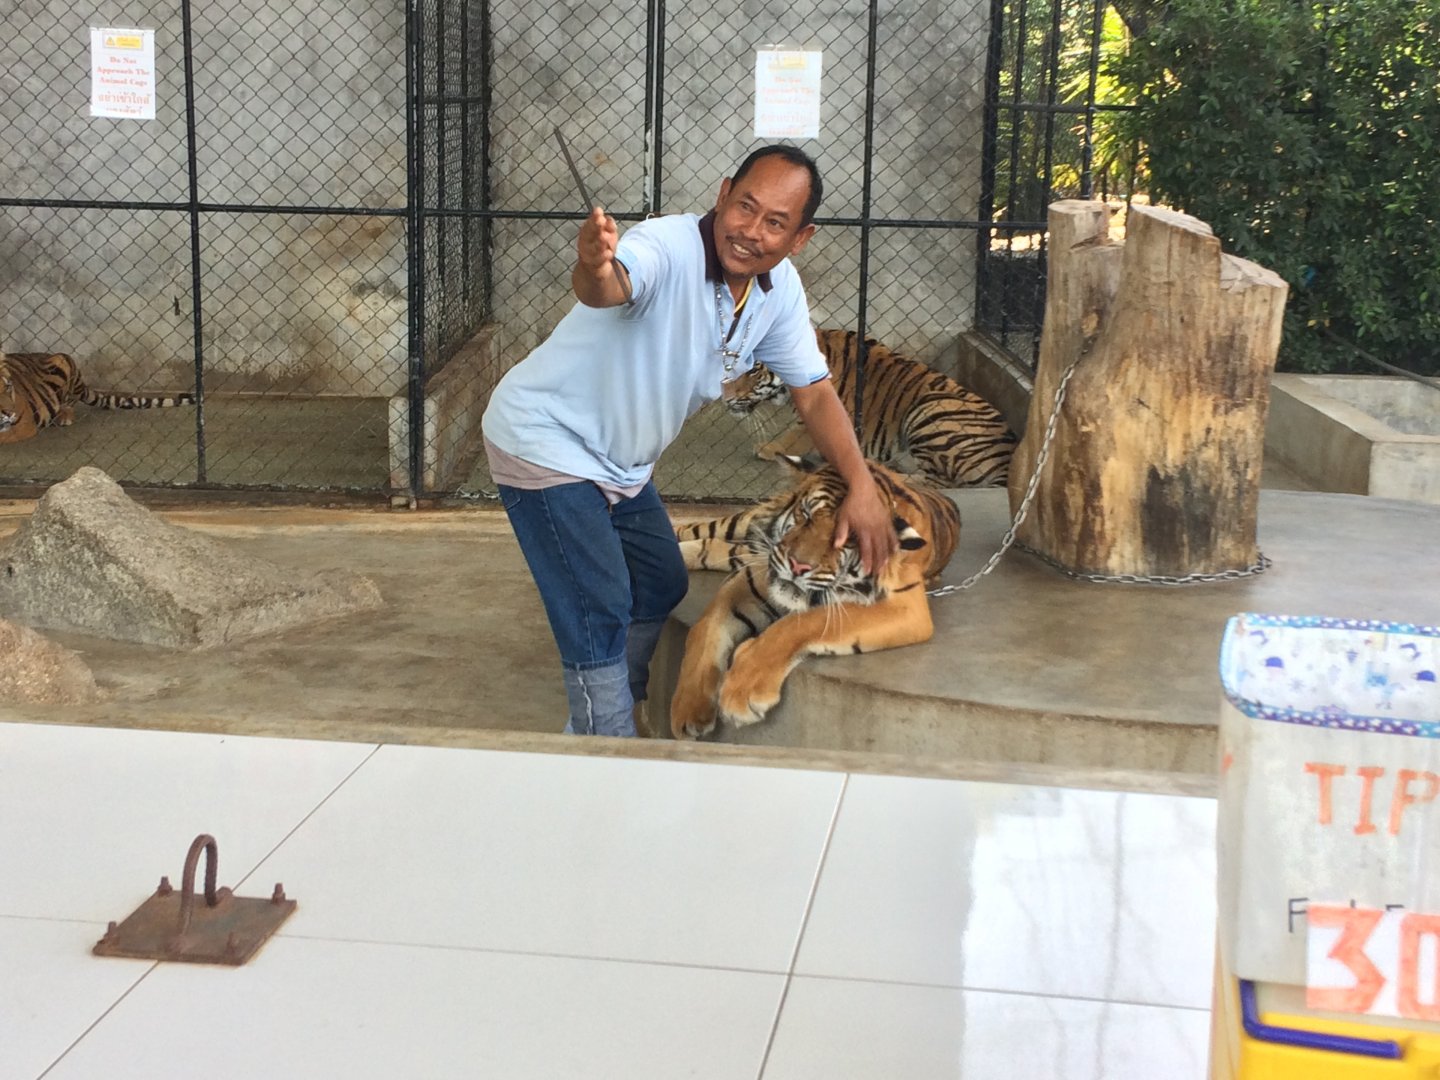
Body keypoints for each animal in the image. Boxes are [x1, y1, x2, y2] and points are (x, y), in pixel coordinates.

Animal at [0, 351, 195, 445]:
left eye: (7, 387)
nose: (9, 412)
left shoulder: (22, 425)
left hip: (63, 361)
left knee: (70, 401)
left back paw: (63, 416)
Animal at [669, 457, 961, 740]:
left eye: (849, 538)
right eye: (807, 515)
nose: (798, 567)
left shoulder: (904, 606)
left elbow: (800, 623)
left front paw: (742, 690)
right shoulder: (748, 582)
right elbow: (705, 628)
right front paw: (688, 709)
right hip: (741, 523)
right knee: (700, 532)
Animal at [724, 327, 1017, 487]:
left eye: (752, 370)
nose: (724, 397)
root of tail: (1006, 460)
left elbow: (795, 436)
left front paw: (768, 447)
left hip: (930, 409)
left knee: (941, 483)